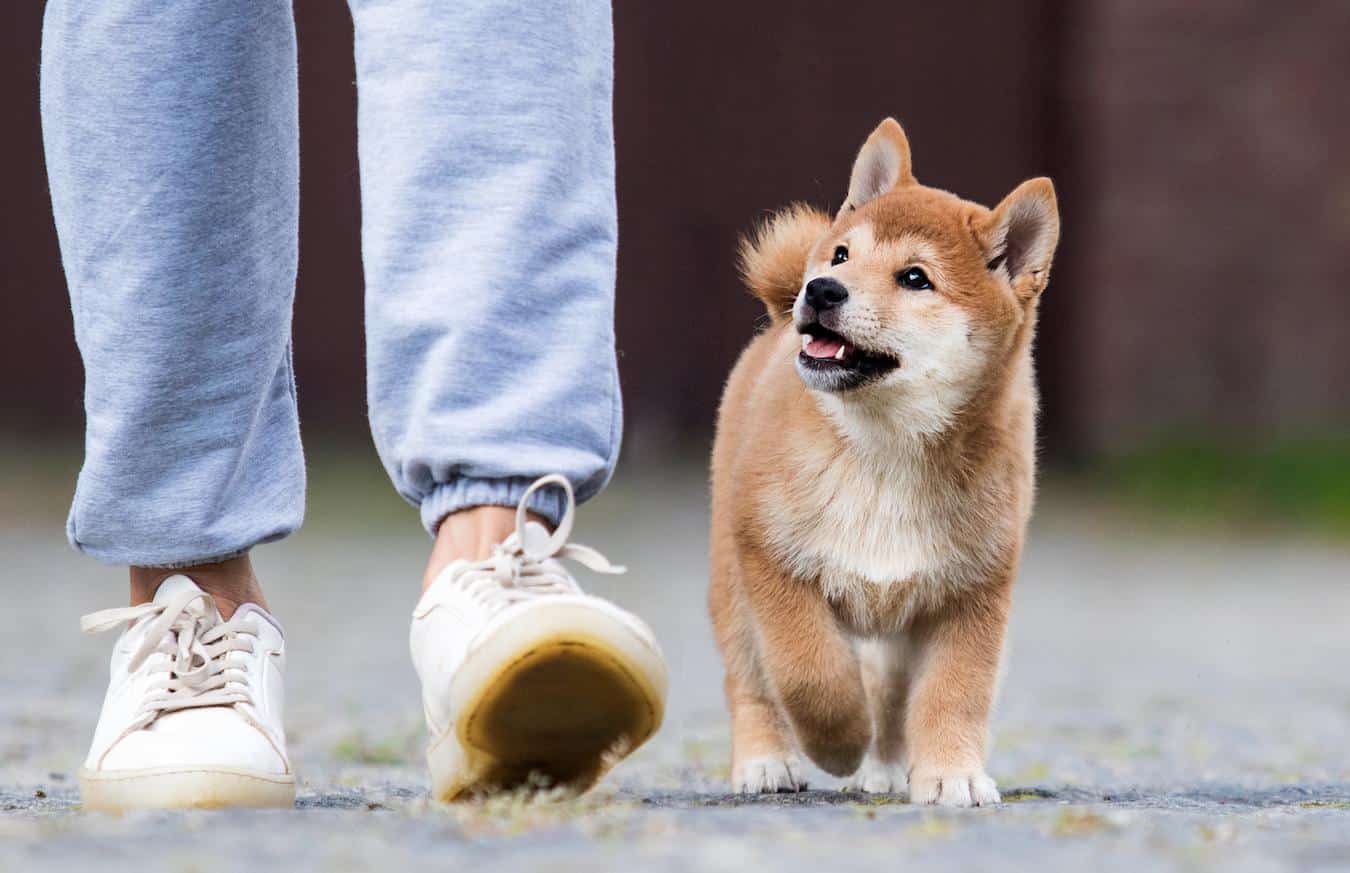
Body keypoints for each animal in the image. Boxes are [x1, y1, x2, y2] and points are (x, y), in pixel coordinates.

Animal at [712, 119, 1058, 809]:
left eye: (915, 278)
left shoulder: (972, 592)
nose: (820, 288)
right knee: (752, 680)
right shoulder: (771, 560)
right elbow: (809, 672)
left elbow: (955, 692)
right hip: (733, 586)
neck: (884, 451)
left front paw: (951, 773)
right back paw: (766, 761)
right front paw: (839, 741)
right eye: (843, 256)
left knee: (893, 697)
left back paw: (890, 766)